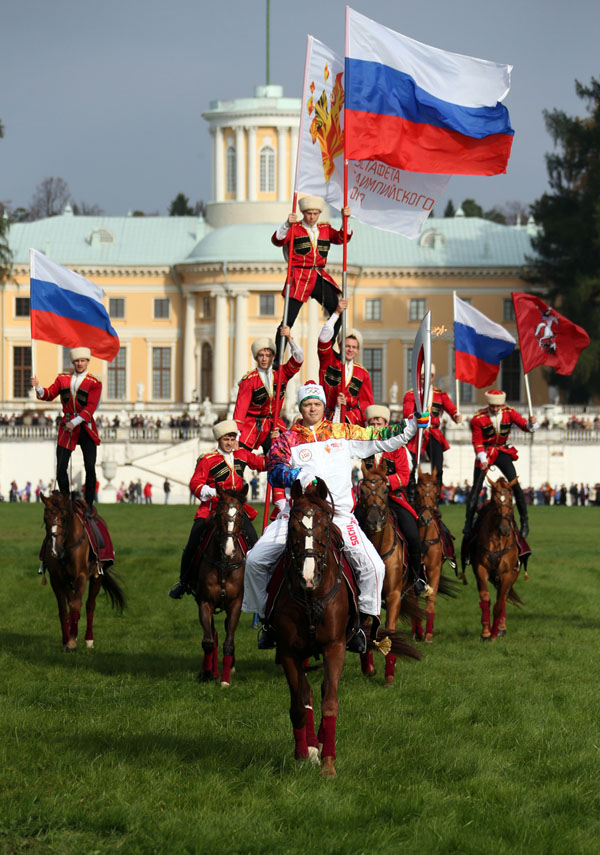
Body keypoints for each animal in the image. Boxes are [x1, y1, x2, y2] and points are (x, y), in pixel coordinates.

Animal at [40, 492, 125, 652]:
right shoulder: (57, 578)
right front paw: (66, 640)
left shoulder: (81, 576)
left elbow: (76, 604)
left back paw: (88, 639)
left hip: (97, 577)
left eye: (65, 517)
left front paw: (72, 640)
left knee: (90, 605)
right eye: (45, 518)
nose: (55, 550)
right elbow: (64, 609)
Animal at [193, 484, 247, 684]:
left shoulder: (236, 603)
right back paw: (212, 671)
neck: (224, 564)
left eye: (241, 515)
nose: (229, 550)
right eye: (218, 515)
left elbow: (229, 642)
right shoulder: (205, 602)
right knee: (214, 635)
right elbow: (208, 641)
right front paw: (207, 673)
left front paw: (225, 680)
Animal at [356, 462, 422, 688]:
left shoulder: (393, 595)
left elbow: (390, 632)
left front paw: (389, 676)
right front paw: (368, 667)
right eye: (362, 490)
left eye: (385, 490)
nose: (373, 521)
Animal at [466, 474, 524, 640]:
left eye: (511, 499)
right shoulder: (480, 569)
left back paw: (501, 627)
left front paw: (494, 634)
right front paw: (486, 632)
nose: (504, 529)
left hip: (513, 574)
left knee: (503, 597)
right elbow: (485, 597)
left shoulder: (507, 573)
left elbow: (499, 602)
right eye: (495, 501)